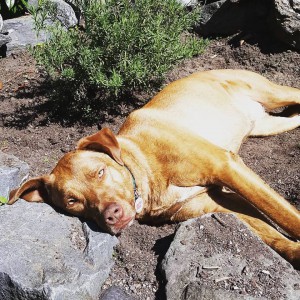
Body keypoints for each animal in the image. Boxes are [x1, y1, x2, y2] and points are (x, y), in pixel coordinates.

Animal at [8, 69, 298, 268]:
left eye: (100, 172)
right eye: (72, 201)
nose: (112, 215)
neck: (145, 171)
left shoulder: (226, 166)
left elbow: (281, 213)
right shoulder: (212, 202)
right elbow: (266, 231)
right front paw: (294, 251)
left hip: (273, 93)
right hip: (268, 125)